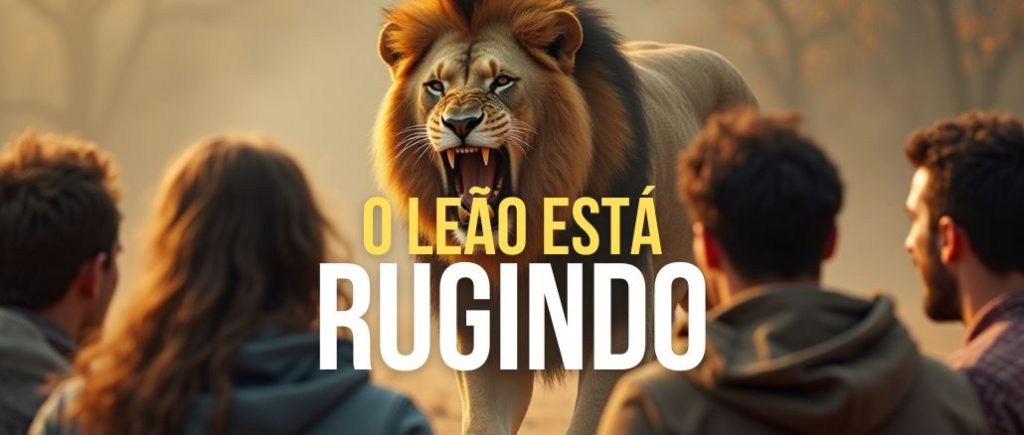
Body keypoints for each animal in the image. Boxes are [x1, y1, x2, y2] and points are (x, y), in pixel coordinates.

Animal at [371, 0, 757, 433]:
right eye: (435, 86)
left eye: (502, 81)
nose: (460, 123)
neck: (521, 244)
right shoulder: (482, 335)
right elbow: (483, 421)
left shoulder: (620, 327)